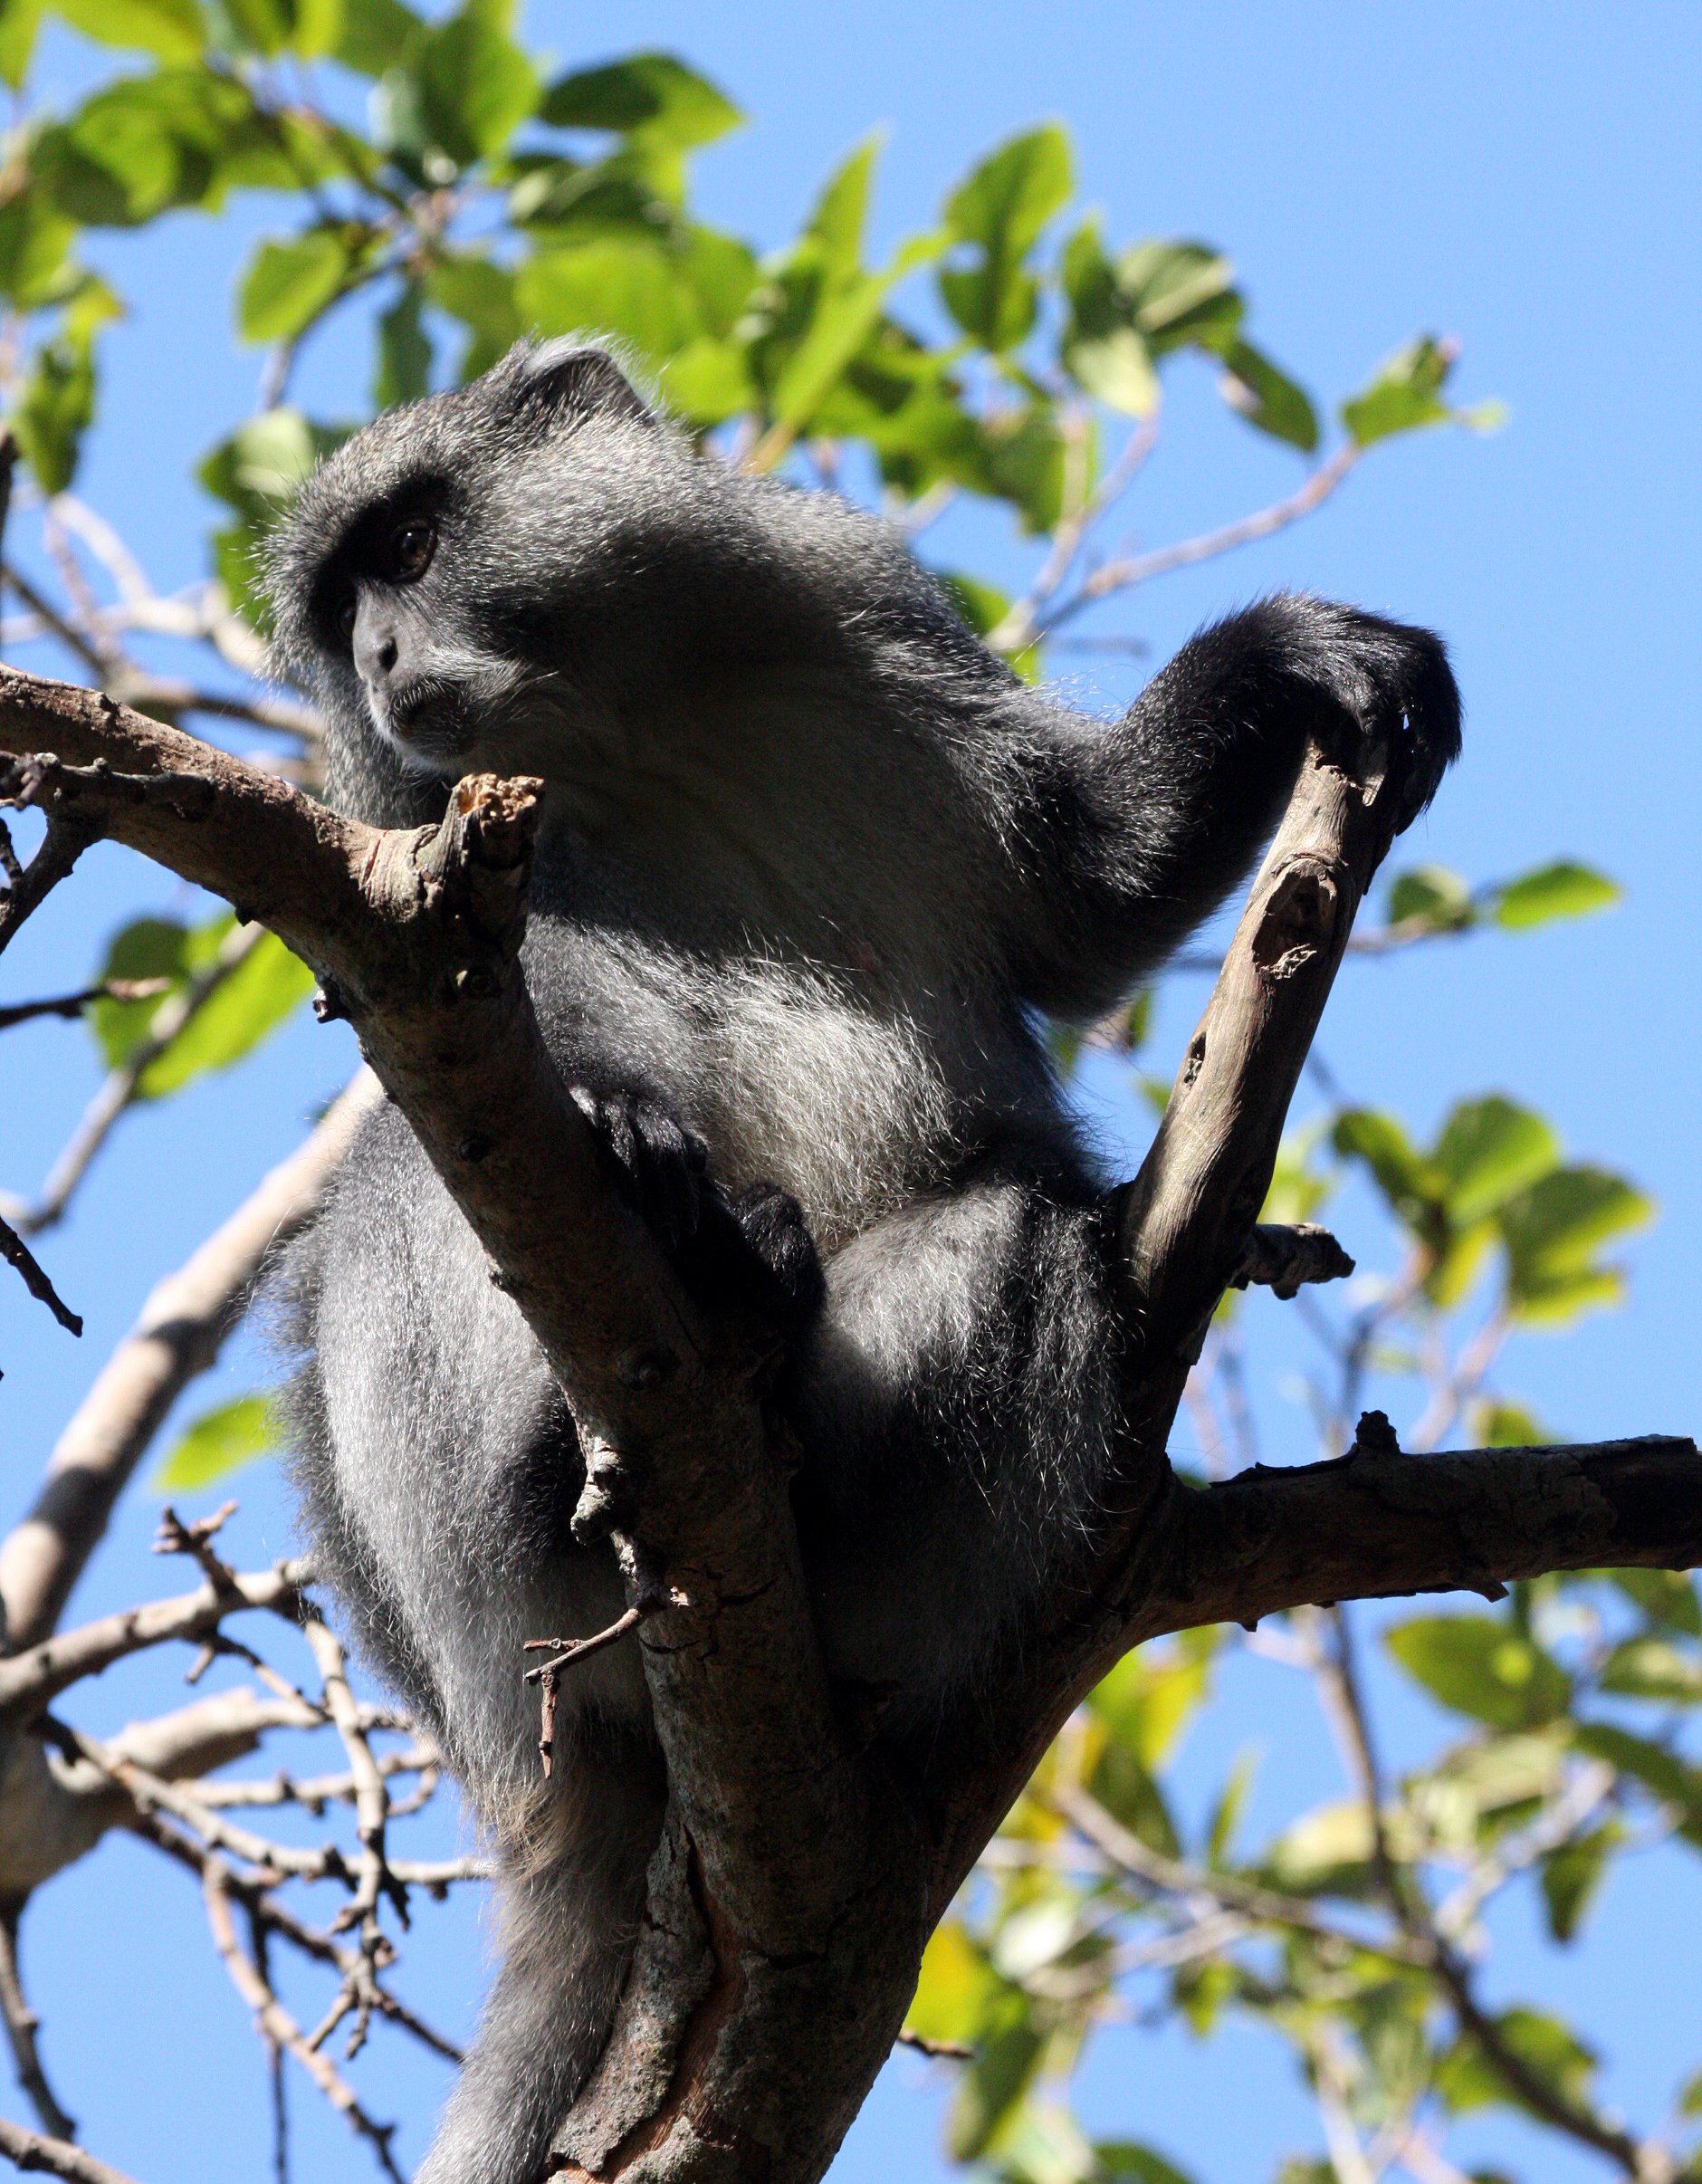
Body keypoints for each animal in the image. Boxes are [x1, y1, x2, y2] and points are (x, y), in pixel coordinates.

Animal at [264, 336, 1460, 2184]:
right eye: (341, 616)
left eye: (405, 546)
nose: (384, 659)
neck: (623, 736)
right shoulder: (432, 871)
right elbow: (475, 1053)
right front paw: (638, 1143)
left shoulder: (852, 609)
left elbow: (1082, 890)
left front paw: (1278, 661)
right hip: (464, 1551)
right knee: (404, 1183)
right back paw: (636, 1351)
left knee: (1016, 1245)